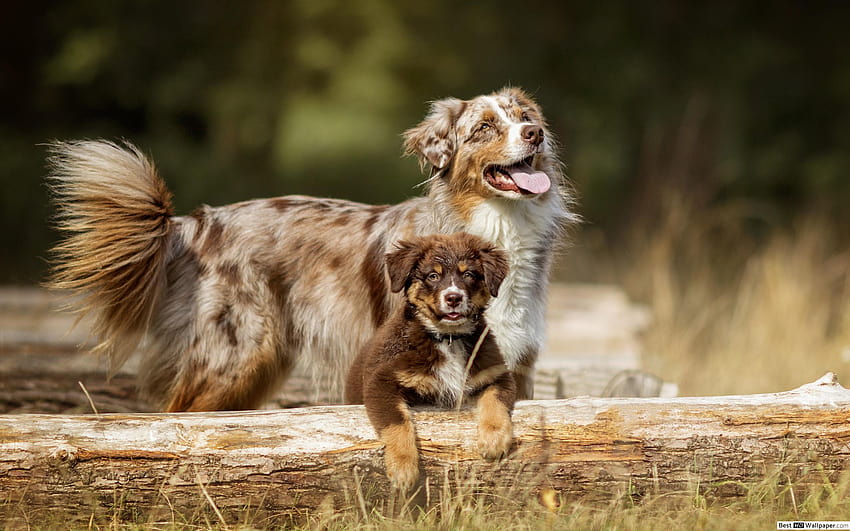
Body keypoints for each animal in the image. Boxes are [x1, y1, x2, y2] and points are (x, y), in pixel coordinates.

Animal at [342, 235, 510, 492]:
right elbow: (397, 422)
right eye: (433, 275)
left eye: (469, 274)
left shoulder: (496, 373)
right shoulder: (381, 382)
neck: (448, 338)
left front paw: (494, 440)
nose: (453, 298)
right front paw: (403, 469)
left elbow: (496, 400)